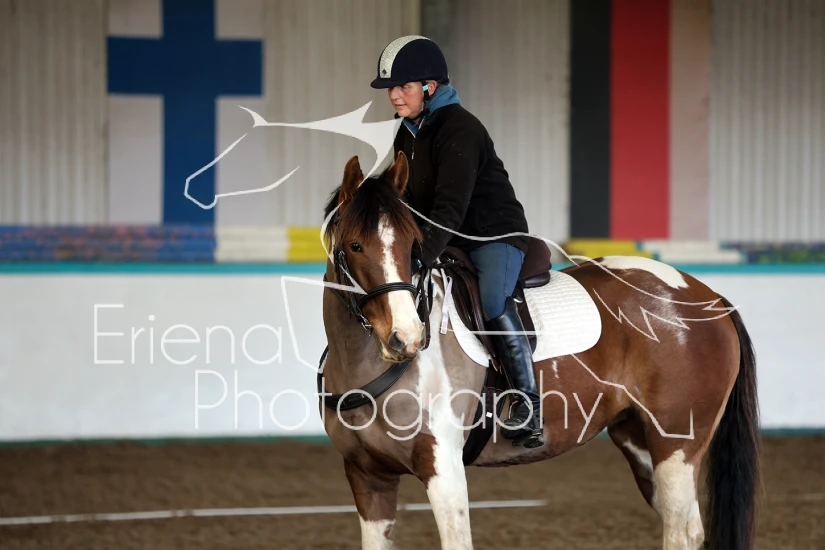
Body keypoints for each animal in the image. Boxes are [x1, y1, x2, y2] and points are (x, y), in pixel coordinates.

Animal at [318, 152, 760, 550]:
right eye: (355, 246)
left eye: (415, 246)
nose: (406, 338)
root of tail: (709, 298)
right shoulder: (367, 477)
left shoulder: (443, 470)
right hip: (641, 444)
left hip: (676, 446)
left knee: (679, 530)